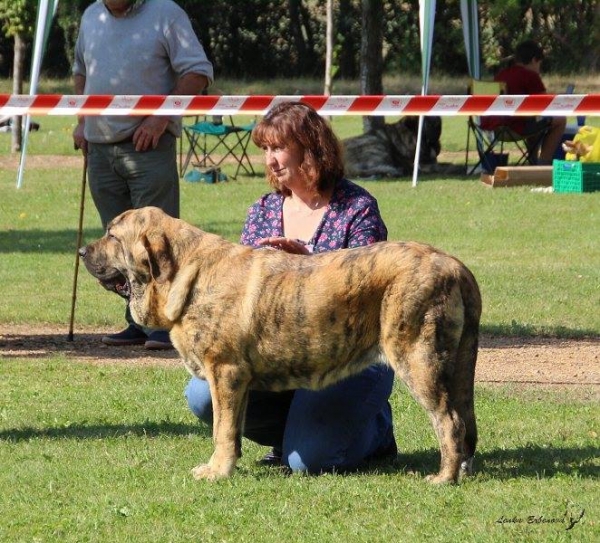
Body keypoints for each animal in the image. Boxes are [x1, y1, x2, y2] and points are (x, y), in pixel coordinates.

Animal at [79, 207, 482, 484]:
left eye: (112, 236)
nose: (82, 251)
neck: (185, 274)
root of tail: (455, 266)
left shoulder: (225, 372)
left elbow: (221, 430)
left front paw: (216, 471)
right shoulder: (237, 382)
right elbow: (231, 428)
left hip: (418, 358)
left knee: (449, 421)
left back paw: (443, 477)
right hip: (458, 366)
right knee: (463, 419)